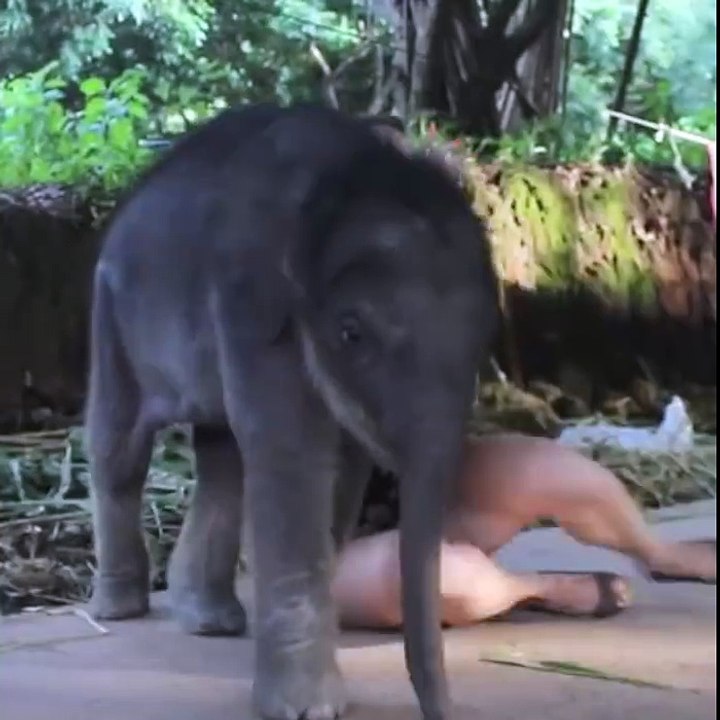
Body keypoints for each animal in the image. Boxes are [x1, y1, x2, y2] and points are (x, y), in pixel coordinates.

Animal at [85, 102, 499, 720]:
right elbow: (296, 455)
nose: (444, 710)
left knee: (223, 458)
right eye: (351, 333)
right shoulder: (250, 302)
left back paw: (209, 620)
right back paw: (119, 609)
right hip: (111, 313)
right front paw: (306, 709)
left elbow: (341, 468)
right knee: (120, 450)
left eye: (484, 339)